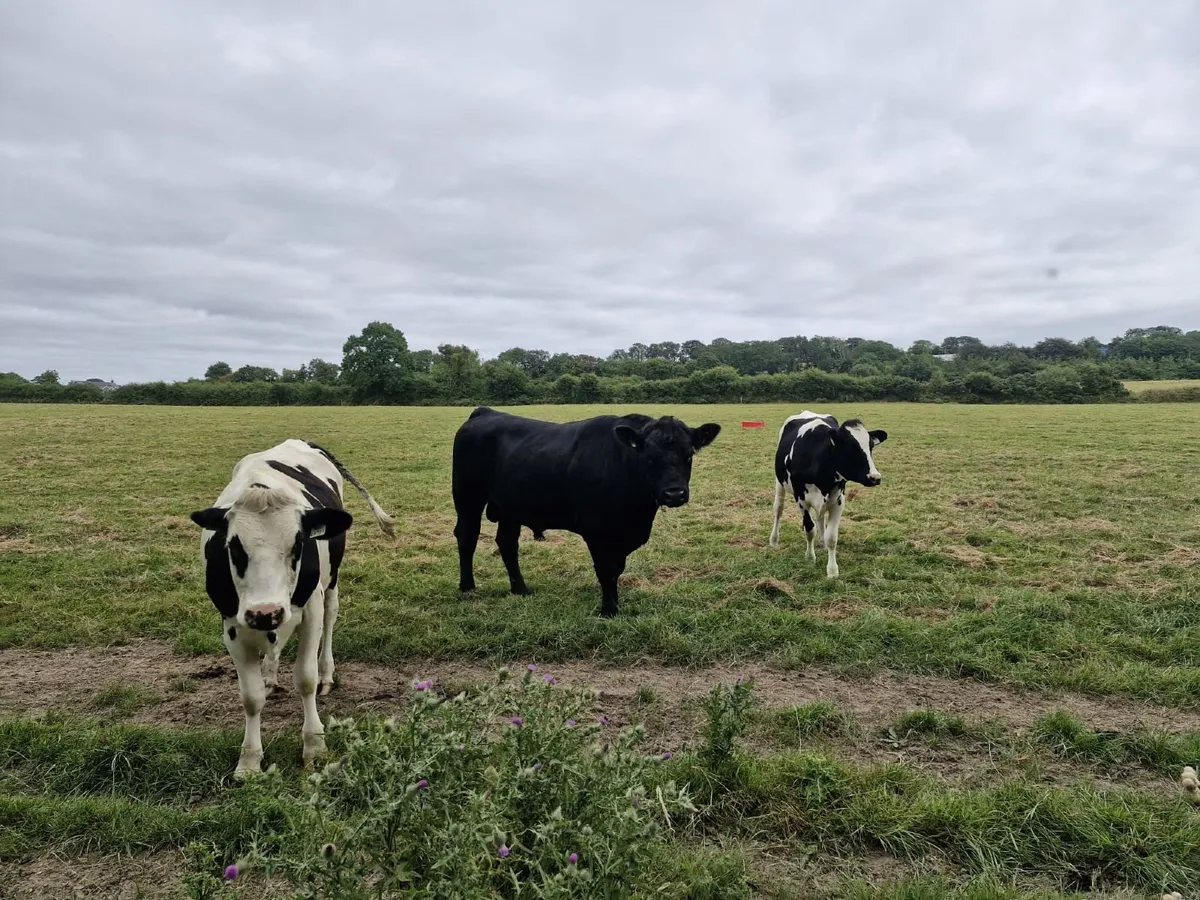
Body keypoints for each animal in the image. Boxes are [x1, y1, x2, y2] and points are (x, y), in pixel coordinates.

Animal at [189, 439, 394, 778]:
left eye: (297, 544)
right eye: (234, 546)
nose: (265, 612)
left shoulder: (310, 612)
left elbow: (305, 680)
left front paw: (314, 745)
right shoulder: (231, 624)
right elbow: (251, 697)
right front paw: (249, 760)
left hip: (331, 581)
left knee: (331, 617)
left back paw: (326, 672)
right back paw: (270, 676)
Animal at [452, 407, 721, 618]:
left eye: (689, 455)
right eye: (649, 457)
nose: (674, 494)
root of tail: (485, 412)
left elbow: (616, 569)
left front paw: (614, 603)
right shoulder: (597, 531)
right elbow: (605, 570)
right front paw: (609, 609)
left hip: (510, 507)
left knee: (507, 543)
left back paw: (520, 589)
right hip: (467, 497)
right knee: (467, 537)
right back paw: (467, 587)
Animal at [768, 411, 888, 578]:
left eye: (870, 446)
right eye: (850, 447)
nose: (875, 477)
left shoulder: (838, 500)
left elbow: (832, 537)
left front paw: (832, 571)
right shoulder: (801, 499)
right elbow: (809, 529)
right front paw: (810, 557)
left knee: (819, 517)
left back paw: (822, 542)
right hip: (780, 483)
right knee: (778, 510)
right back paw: (774, 540)